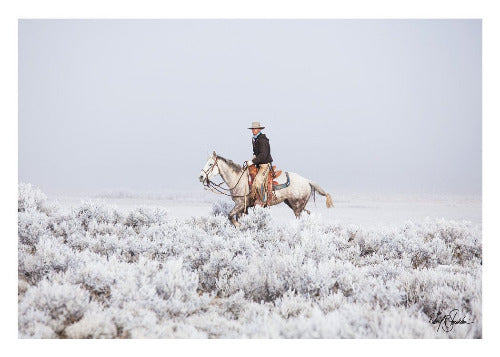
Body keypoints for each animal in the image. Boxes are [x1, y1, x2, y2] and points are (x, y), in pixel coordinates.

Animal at [198, 152, 332, 227]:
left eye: (210, 164)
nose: (201, 177)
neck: (238, 179)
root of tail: (307, 181)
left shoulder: (240, 204)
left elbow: (230, 216)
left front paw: (240, 226)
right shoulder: (242, 207)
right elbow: (235, 218)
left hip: (297, 207)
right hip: (294, 204)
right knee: (308, 213)